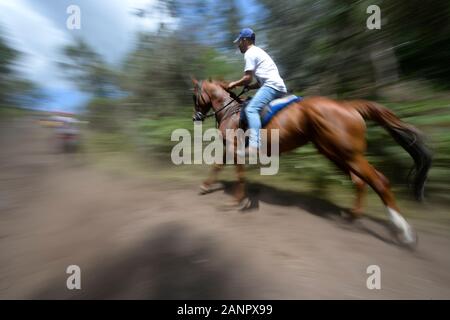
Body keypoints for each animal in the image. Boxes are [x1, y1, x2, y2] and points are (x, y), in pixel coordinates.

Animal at [192, 78, 432, 248]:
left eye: (194, 96)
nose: (196, 117)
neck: (230, 110)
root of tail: (350, 107)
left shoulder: (235, 148)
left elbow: (238, 175)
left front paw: (235, 201)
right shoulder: (229, 149)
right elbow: (217, 166)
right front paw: (205, 187)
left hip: (348, 154)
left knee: (379, 181)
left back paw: (405, 233)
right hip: (335, 153)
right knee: (360, 181)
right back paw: (353, 216)